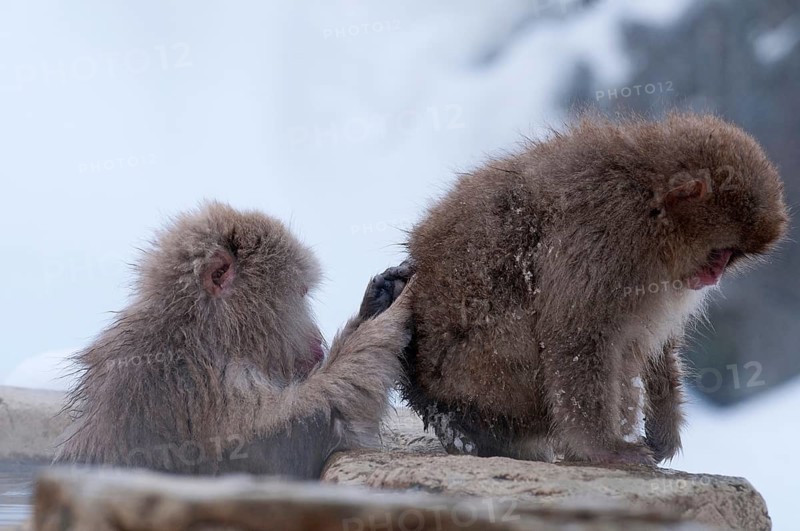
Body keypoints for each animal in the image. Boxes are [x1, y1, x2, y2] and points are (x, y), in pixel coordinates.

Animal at [54, 201, 414, 479]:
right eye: (301, 294)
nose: (316, 335)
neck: (205, 333)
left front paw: (379, 300)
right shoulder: (192, 382)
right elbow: (293, 441)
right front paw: (389, 318)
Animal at [397, 112, 789, 466]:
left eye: (731, 257)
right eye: (719, 252)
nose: (714, 276)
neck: (649, 209)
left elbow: (658, 344)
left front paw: (664, 428)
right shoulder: (602, 239)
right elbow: (576, 335)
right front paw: (604, 448)